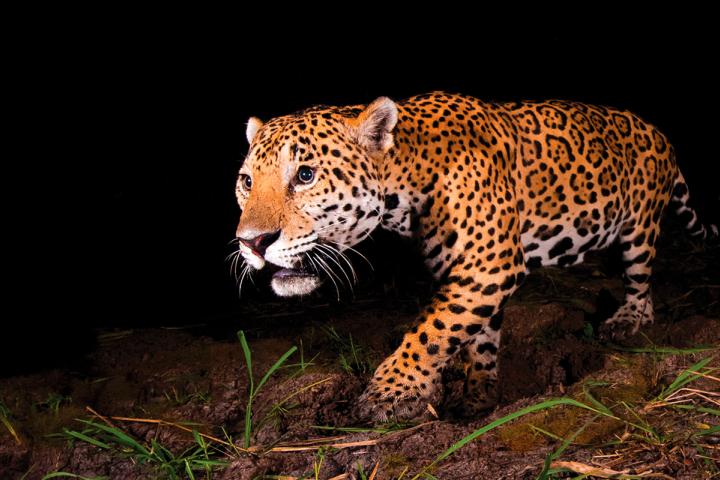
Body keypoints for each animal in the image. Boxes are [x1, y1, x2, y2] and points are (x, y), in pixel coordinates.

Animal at [233, 92, 716, 422]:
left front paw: (391, 393)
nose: (252, 242)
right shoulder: (470, 274)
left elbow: (431, 330)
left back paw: (627, 320)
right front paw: (479, 395)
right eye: (245, 181)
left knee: (642, 282)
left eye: (305, 175)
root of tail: (656, 129)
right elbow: (474, 335)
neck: (407, 177)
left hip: (639, 228)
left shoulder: (490, 265)